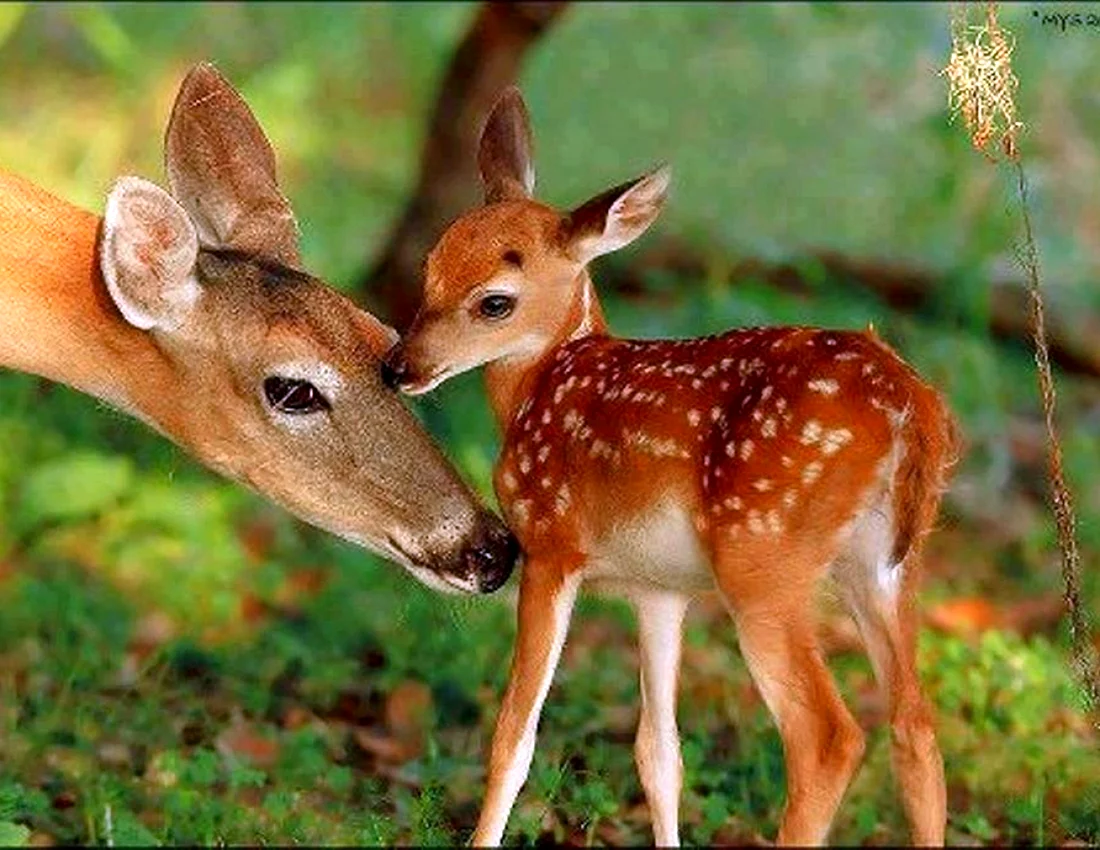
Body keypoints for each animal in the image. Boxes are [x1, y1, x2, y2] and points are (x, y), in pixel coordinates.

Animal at [383, 87, 961, 846]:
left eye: (494, 302)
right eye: (430, 268)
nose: (398, 368)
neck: (542, 383)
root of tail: (908, 404)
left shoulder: (550, 546)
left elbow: (514, 734)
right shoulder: (660, 589)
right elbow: (659, 754)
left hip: (763, 559)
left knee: (828, 738)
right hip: (886, 565)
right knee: (916, 727)